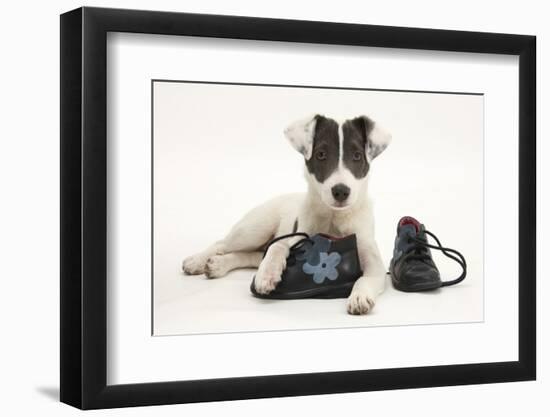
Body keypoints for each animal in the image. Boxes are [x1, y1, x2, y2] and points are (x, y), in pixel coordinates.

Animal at [184, 114, 392, 316]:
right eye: (321, 154)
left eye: (357, 156)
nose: (341, 191)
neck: (334, 217)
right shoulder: (296, 236)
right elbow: (278, 246)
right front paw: (267, 274)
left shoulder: (374, 264)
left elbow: (364, 279)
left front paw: (359, 297)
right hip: (254, 229)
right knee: (223, 244)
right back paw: (197, 261)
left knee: (250, 255)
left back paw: (219, 265)